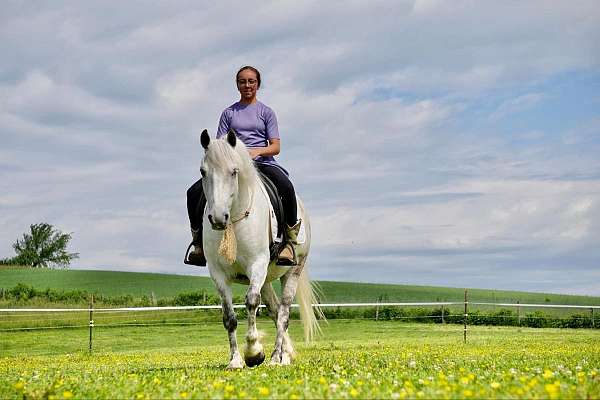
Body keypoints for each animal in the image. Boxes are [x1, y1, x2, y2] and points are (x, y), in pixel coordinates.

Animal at [200, 129, 324, 368]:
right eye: (203, 172)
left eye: (234, 172)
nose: (218, 218)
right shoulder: (217, 273)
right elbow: (229, 316)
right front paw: (235, 361)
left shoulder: (256, 264)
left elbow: (251, 303)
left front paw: (254, 353)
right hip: (266, 279)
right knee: (275, 311)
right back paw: (286, 354)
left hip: (292, 271)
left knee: (283, 314)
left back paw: (277, 358)